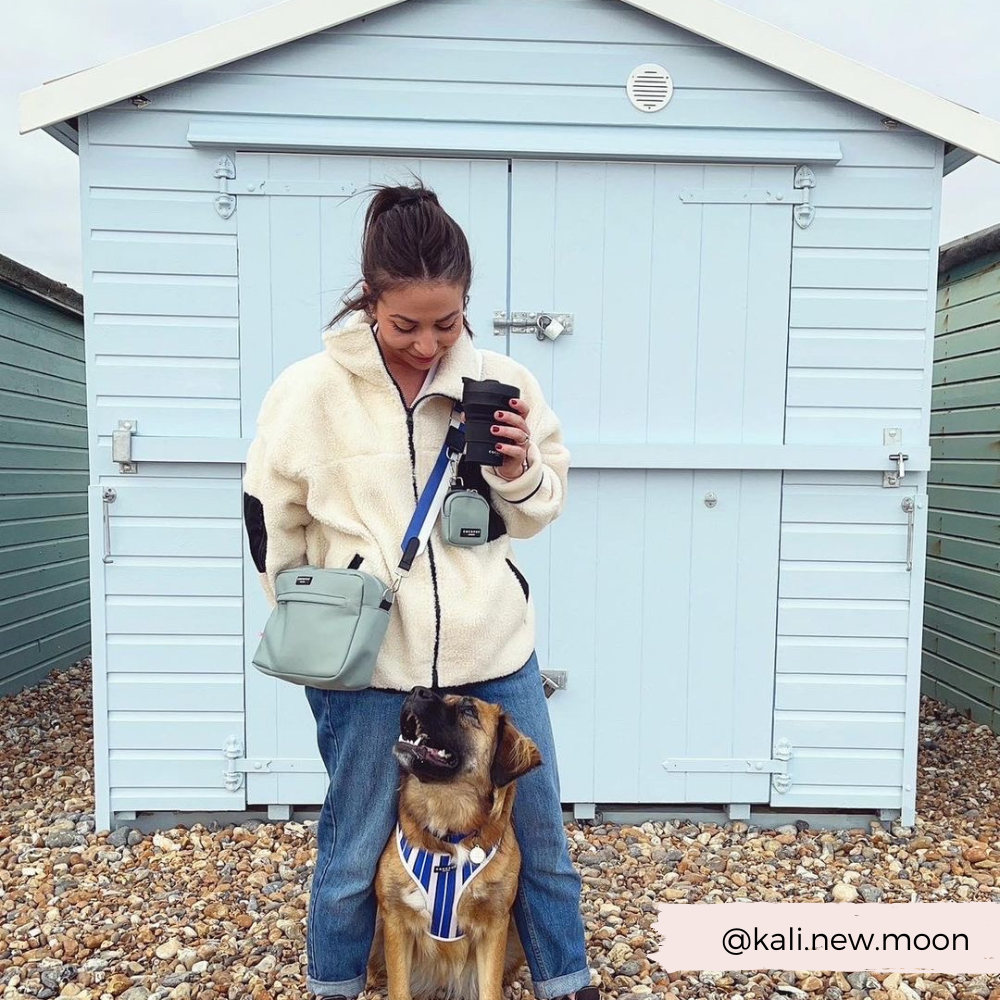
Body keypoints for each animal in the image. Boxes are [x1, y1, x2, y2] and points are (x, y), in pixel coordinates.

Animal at [368, 688, 544, 1000]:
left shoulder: (494, 926)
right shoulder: (396, 921)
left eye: (468, 710)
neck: (449, 833)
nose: (416, 690)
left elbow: (490, 990)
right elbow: (399, 989)